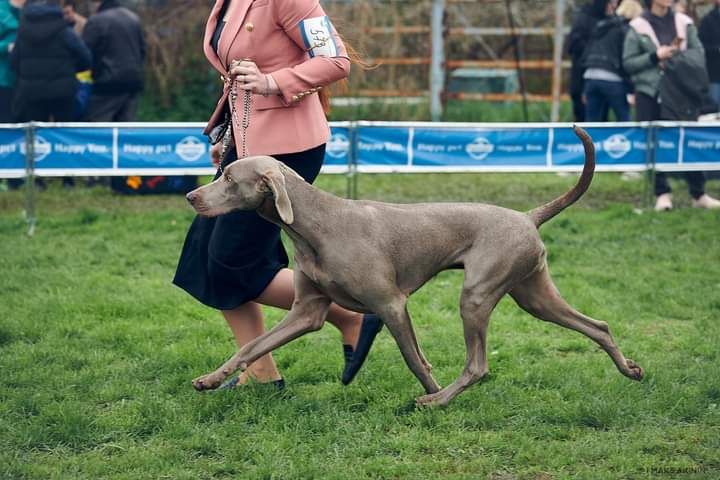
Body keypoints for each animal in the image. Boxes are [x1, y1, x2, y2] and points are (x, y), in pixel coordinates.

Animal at [188, 126, 644, 404]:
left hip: (477, 294)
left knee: (478, 365)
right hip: (533, 294)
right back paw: (630, 369)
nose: (192, 196)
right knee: (598, 326)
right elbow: (251, 345)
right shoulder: (307, 311)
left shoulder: (391, 304)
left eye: (229, 179)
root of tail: (528, 216)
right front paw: (211, 379)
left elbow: (414, 358)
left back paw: (439, 400)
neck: (314, 226)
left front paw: (431, 389)